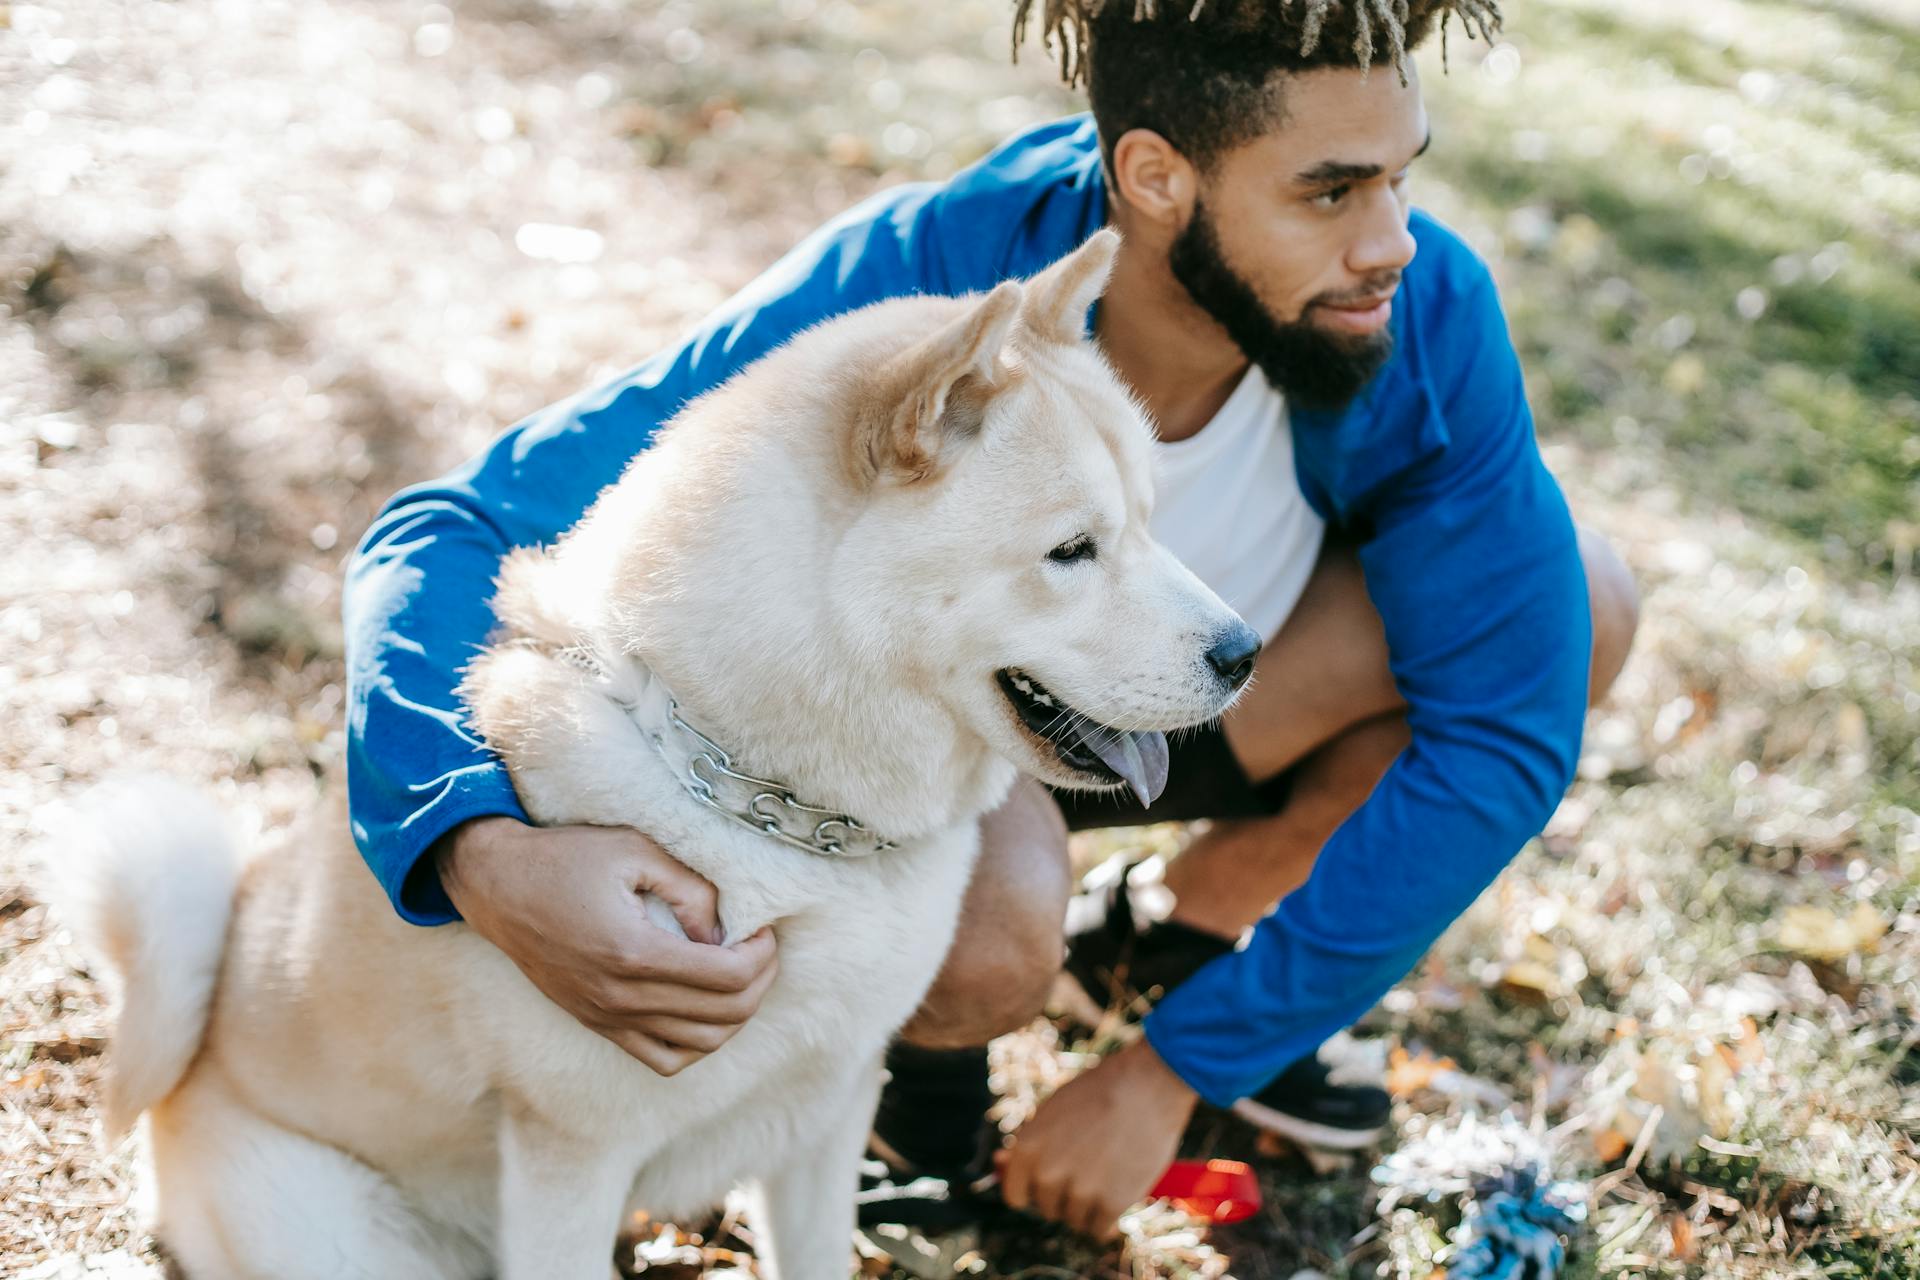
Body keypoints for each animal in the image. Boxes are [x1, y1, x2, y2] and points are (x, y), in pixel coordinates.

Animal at [52, 233, 1259, 1280]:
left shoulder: (824, 1125)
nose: (1246, 652)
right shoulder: (568, 1165)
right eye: (1072, 550)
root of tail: (188, 1066)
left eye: (1149, 521)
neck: (773, 809)